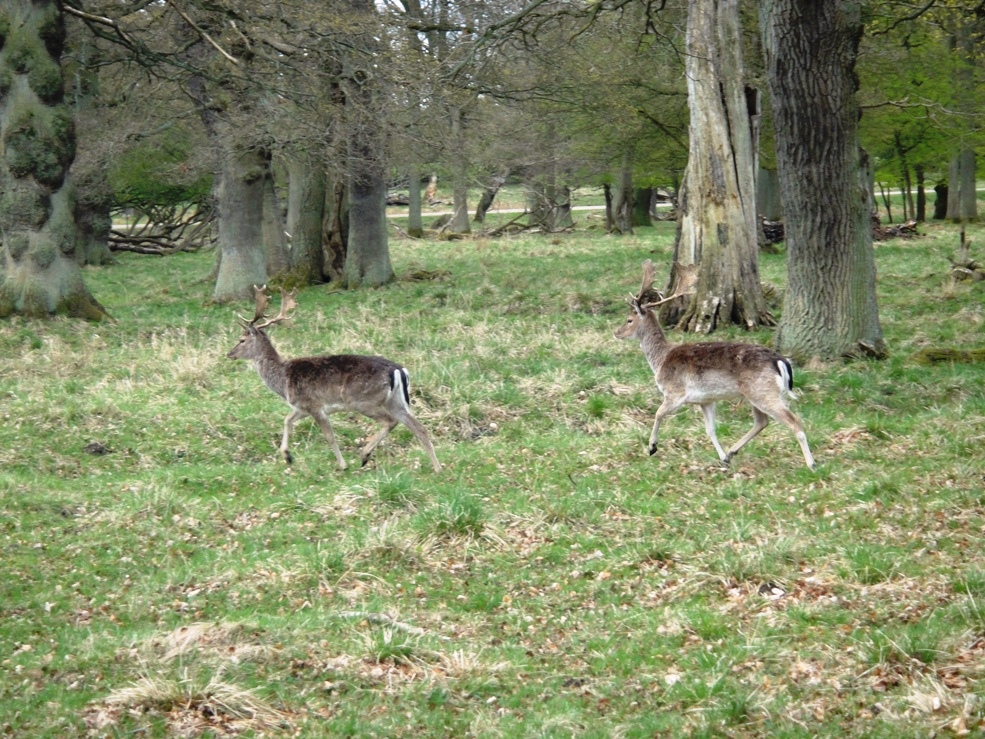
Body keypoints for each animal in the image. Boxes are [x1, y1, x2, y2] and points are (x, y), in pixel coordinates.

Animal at [227, 286, 442, 472]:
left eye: (242, 340)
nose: (229, 354)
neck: (283, 380)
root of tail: (398, 370)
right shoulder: (301, 407)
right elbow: (287, 420)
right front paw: (287, 456)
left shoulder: (314, 405)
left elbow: (329, 436)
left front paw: (343, 465)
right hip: (395, 401)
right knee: (419, 427)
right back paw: (437, 467)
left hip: (362, 399)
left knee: (390, 422)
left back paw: (364, 455)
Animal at [616, 258, 816, 468]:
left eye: (629, 320)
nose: (616, 332)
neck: (660, 361)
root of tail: (780, 361)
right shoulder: (705, 400)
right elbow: (710, 429)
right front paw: (722, 458)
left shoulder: (675, 392)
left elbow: (658, 413)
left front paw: (652, 447)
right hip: (757, 393)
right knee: (762, 421)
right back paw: (732, 451)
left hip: (763, 391)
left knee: (794, 421)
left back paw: (811, 464)